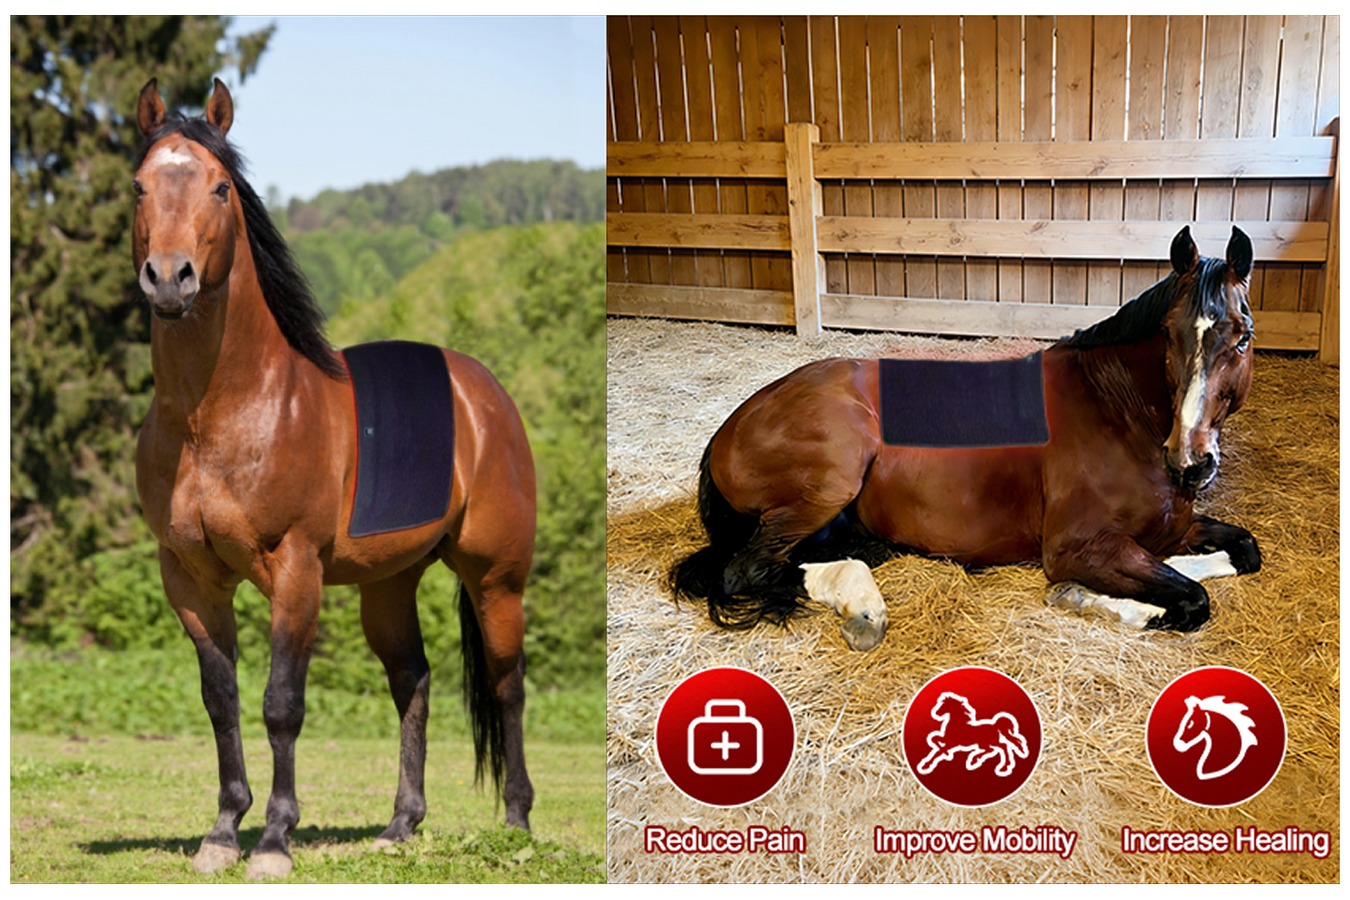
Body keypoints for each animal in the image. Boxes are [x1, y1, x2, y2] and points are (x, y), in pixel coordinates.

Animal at [131, 78, 536, 879]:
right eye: (138, 186)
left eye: (221, 187)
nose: (169, 279)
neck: (217, 417)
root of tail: (484, 392)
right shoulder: (190, 578)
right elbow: (221, 700)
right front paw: (222, 833)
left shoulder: (296, 571)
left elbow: (281, 703)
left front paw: (274, 841)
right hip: (389, 584)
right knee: (413, 680)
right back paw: (401, 825)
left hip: (496, 579)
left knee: (507, 685)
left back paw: (516, 823)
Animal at [672, 226, 1261, 650]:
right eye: (1167, 333)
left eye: (1242, 336)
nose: (1190, 461)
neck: (1117, 410)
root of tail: (730, 428)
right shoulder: (1081, 547)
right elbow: (1191, 601)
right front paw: (1084, 596)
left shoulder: (1172, 530)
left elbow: (1240, 554)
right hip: (829, 481)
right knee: (747, 569)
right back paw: (864, 609)